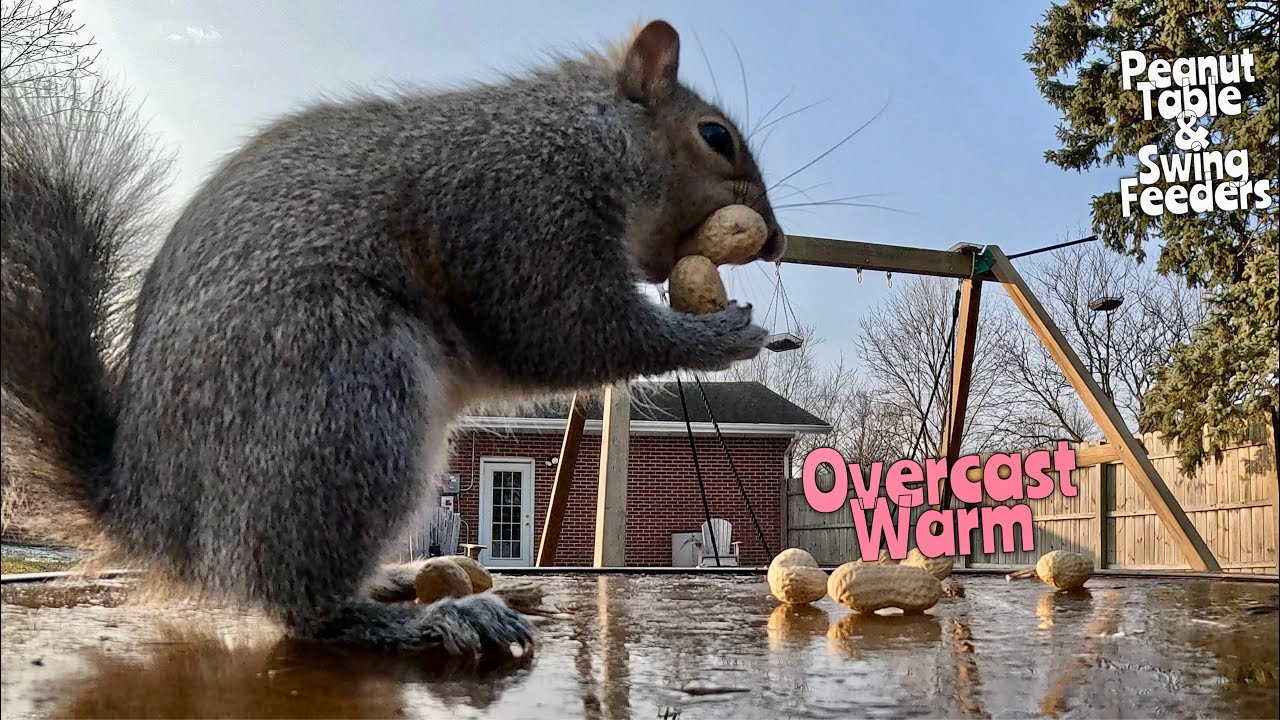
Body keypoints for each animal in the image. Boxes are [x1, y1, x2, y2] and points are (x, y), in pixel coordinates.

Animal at [0, 19, 785, 655]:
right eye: (716, 136)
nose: (775, 240)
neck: (585, 135)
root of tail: (152, 515)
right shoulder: (520, 213)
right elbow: (568, 331)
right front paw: (720, 335)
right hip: (348, 400)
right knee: (303, 610)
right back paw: (428, 619)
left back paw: (410, 581)